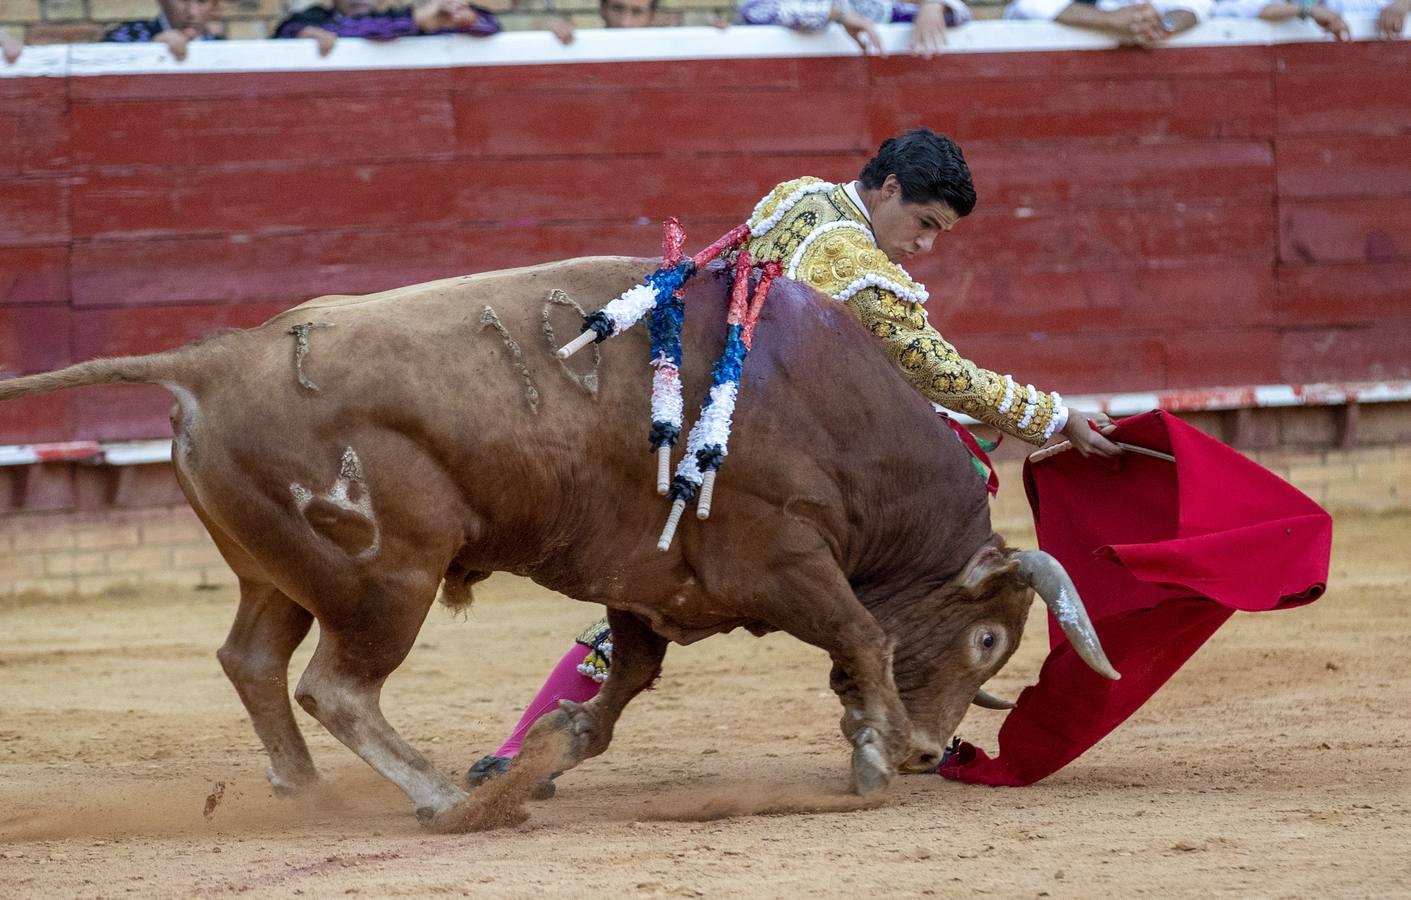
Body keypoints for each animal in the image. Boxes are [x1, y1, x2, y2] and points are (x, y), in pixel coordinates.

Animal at [2, 255, 1123, 835]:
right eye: (989, 642)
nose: (942, 748)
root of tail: (213, 359)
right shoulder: (782, 559)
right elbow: (861, 634)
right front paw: (881, 749)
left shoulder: (643, 589)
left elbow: (617, 691)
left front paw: (553, 748)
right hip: (387, 576)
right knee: (336, 686)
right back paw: (447, 800)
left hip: (281, 573)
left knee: (252, 660)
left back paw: (311, 795)